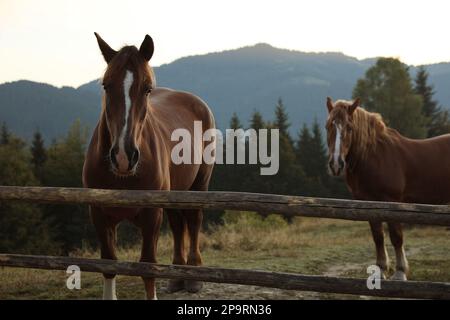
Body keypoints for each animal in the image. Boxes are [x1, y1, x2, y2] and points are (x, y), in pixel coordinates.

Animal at [83, 33, 216, 298]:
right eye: (106, 85)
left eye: (147, 89)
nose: (124, 156)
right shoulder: (99, 214)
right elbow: (108, 263)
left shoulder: (151, 215)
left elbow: (147, 266)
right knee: (177, 224)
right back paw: (177, 276)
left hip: (199, 184)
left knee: (193, 220)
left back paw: (193, 276)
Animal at [326, 97, 450, 280]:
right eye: (328, 126)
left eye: (349, 127)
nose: (336, 164)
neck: (374, 156)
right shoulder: (368, 203)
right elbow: (378, 237)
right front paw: (380, 270)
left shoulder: (392, 202)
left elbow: (396, 236)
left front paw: (400, 272)